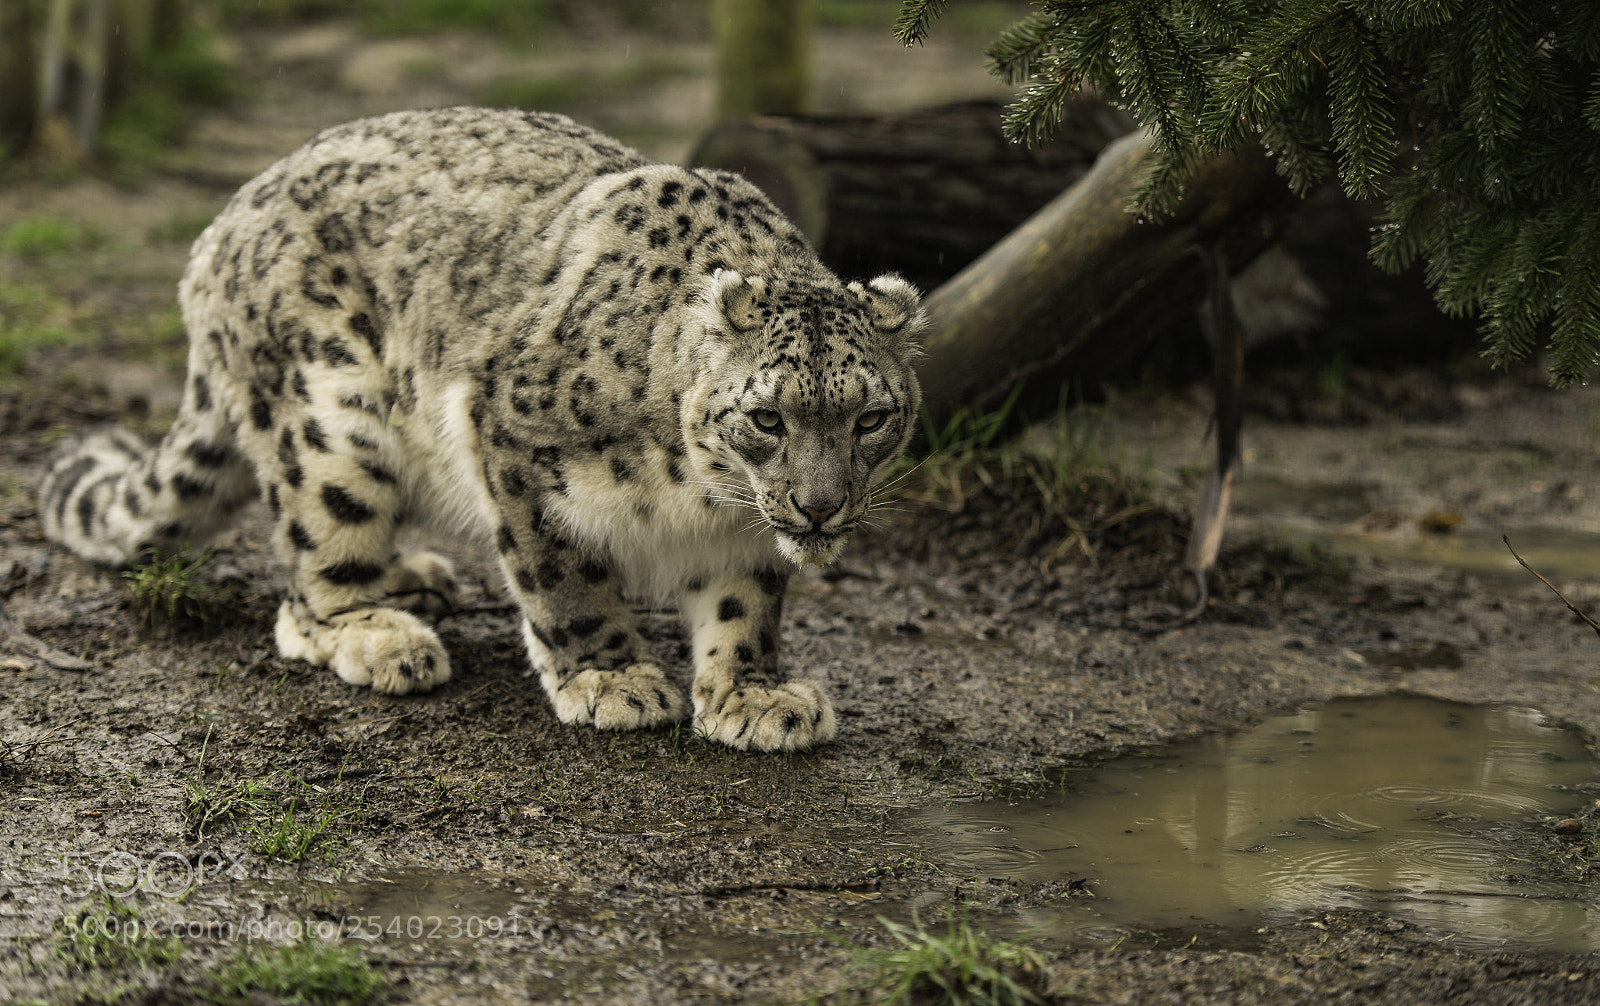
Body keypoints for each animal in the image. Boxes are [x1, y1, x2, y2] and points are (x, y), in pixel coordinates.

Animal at [36, 107, 923, 752]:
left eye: (872, 418)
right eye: (767, 417)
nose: (819, 508)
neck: (701, 498)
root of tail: (222, 227)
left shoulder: (743, 530)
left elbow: (746, 602)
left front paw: (755, 694)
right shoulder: (511, 440)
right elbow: (562, 578)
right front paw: (612, 679)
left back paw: (412, 576)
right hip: (330, 428)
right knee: (308, 579)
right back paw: (381, 634)